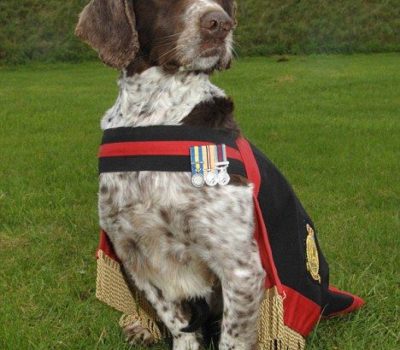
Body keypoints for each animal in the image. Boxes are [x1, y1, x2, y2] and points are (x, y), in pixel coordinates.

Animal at [76, 0, 268, 350]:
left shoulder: (240, 266)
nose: (221, 23)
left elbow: (232, 337)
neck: (153, 118)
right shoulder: (134, 253)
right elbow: (176, 320)